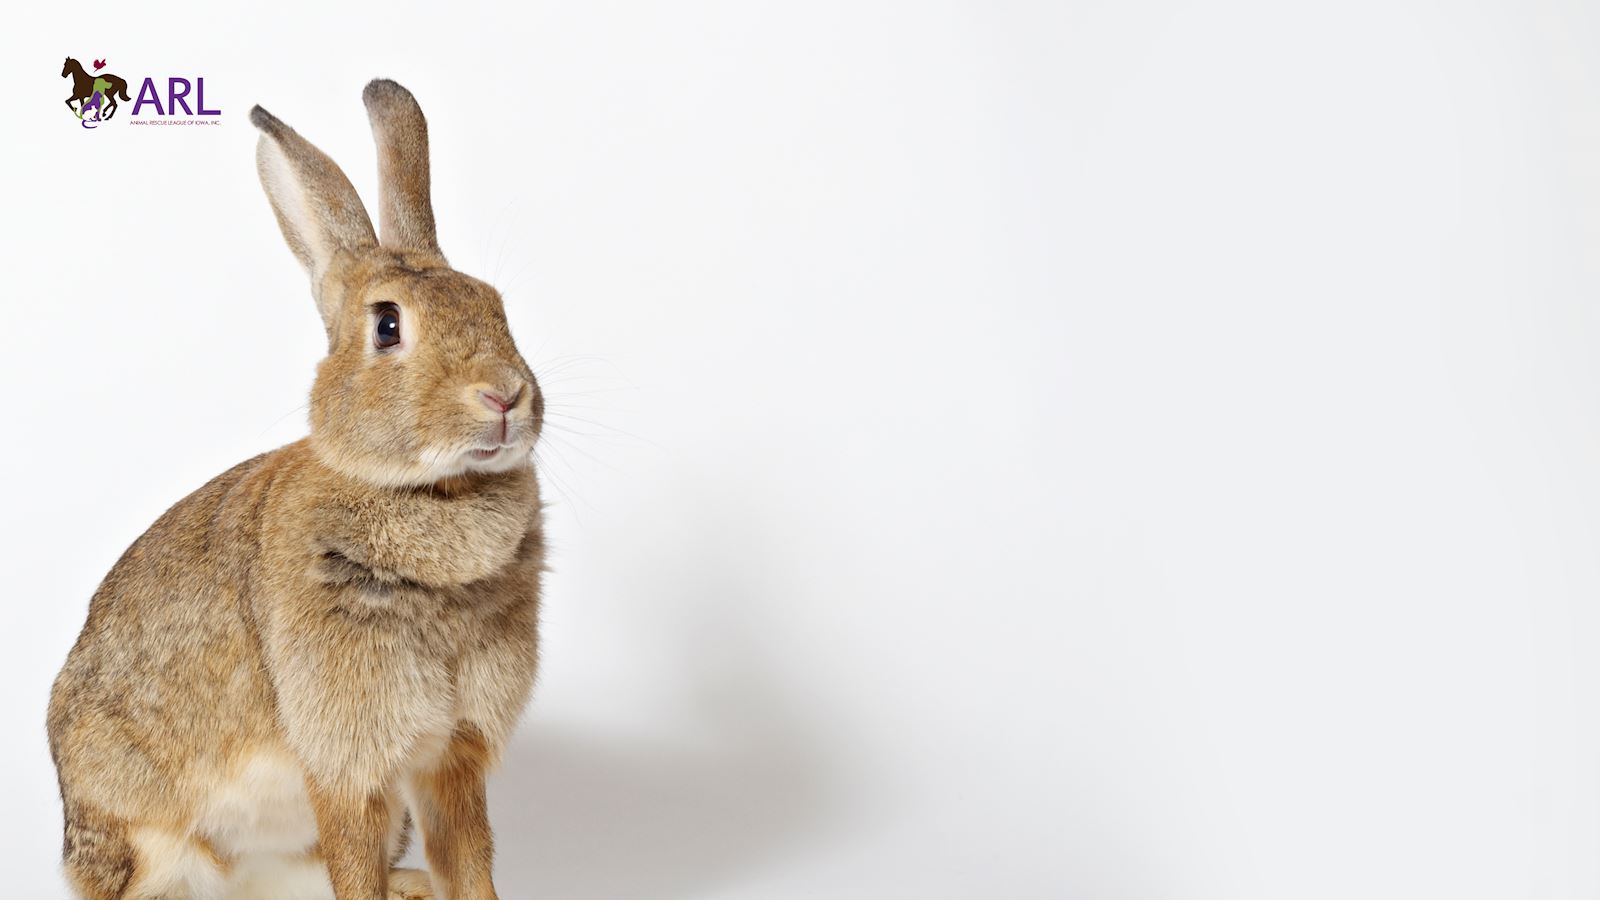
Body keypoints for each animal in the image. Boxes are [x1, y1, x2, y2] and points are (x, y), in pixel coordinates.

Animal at [46, 78, 546, 900]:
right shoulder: (344, 758)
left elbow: (467, 859)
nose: (504, 395)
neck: (430, 494)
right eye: (387, 326)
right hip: (142, 836)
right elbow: (358, 858)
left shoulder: (450, 755)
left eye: (495, 305)